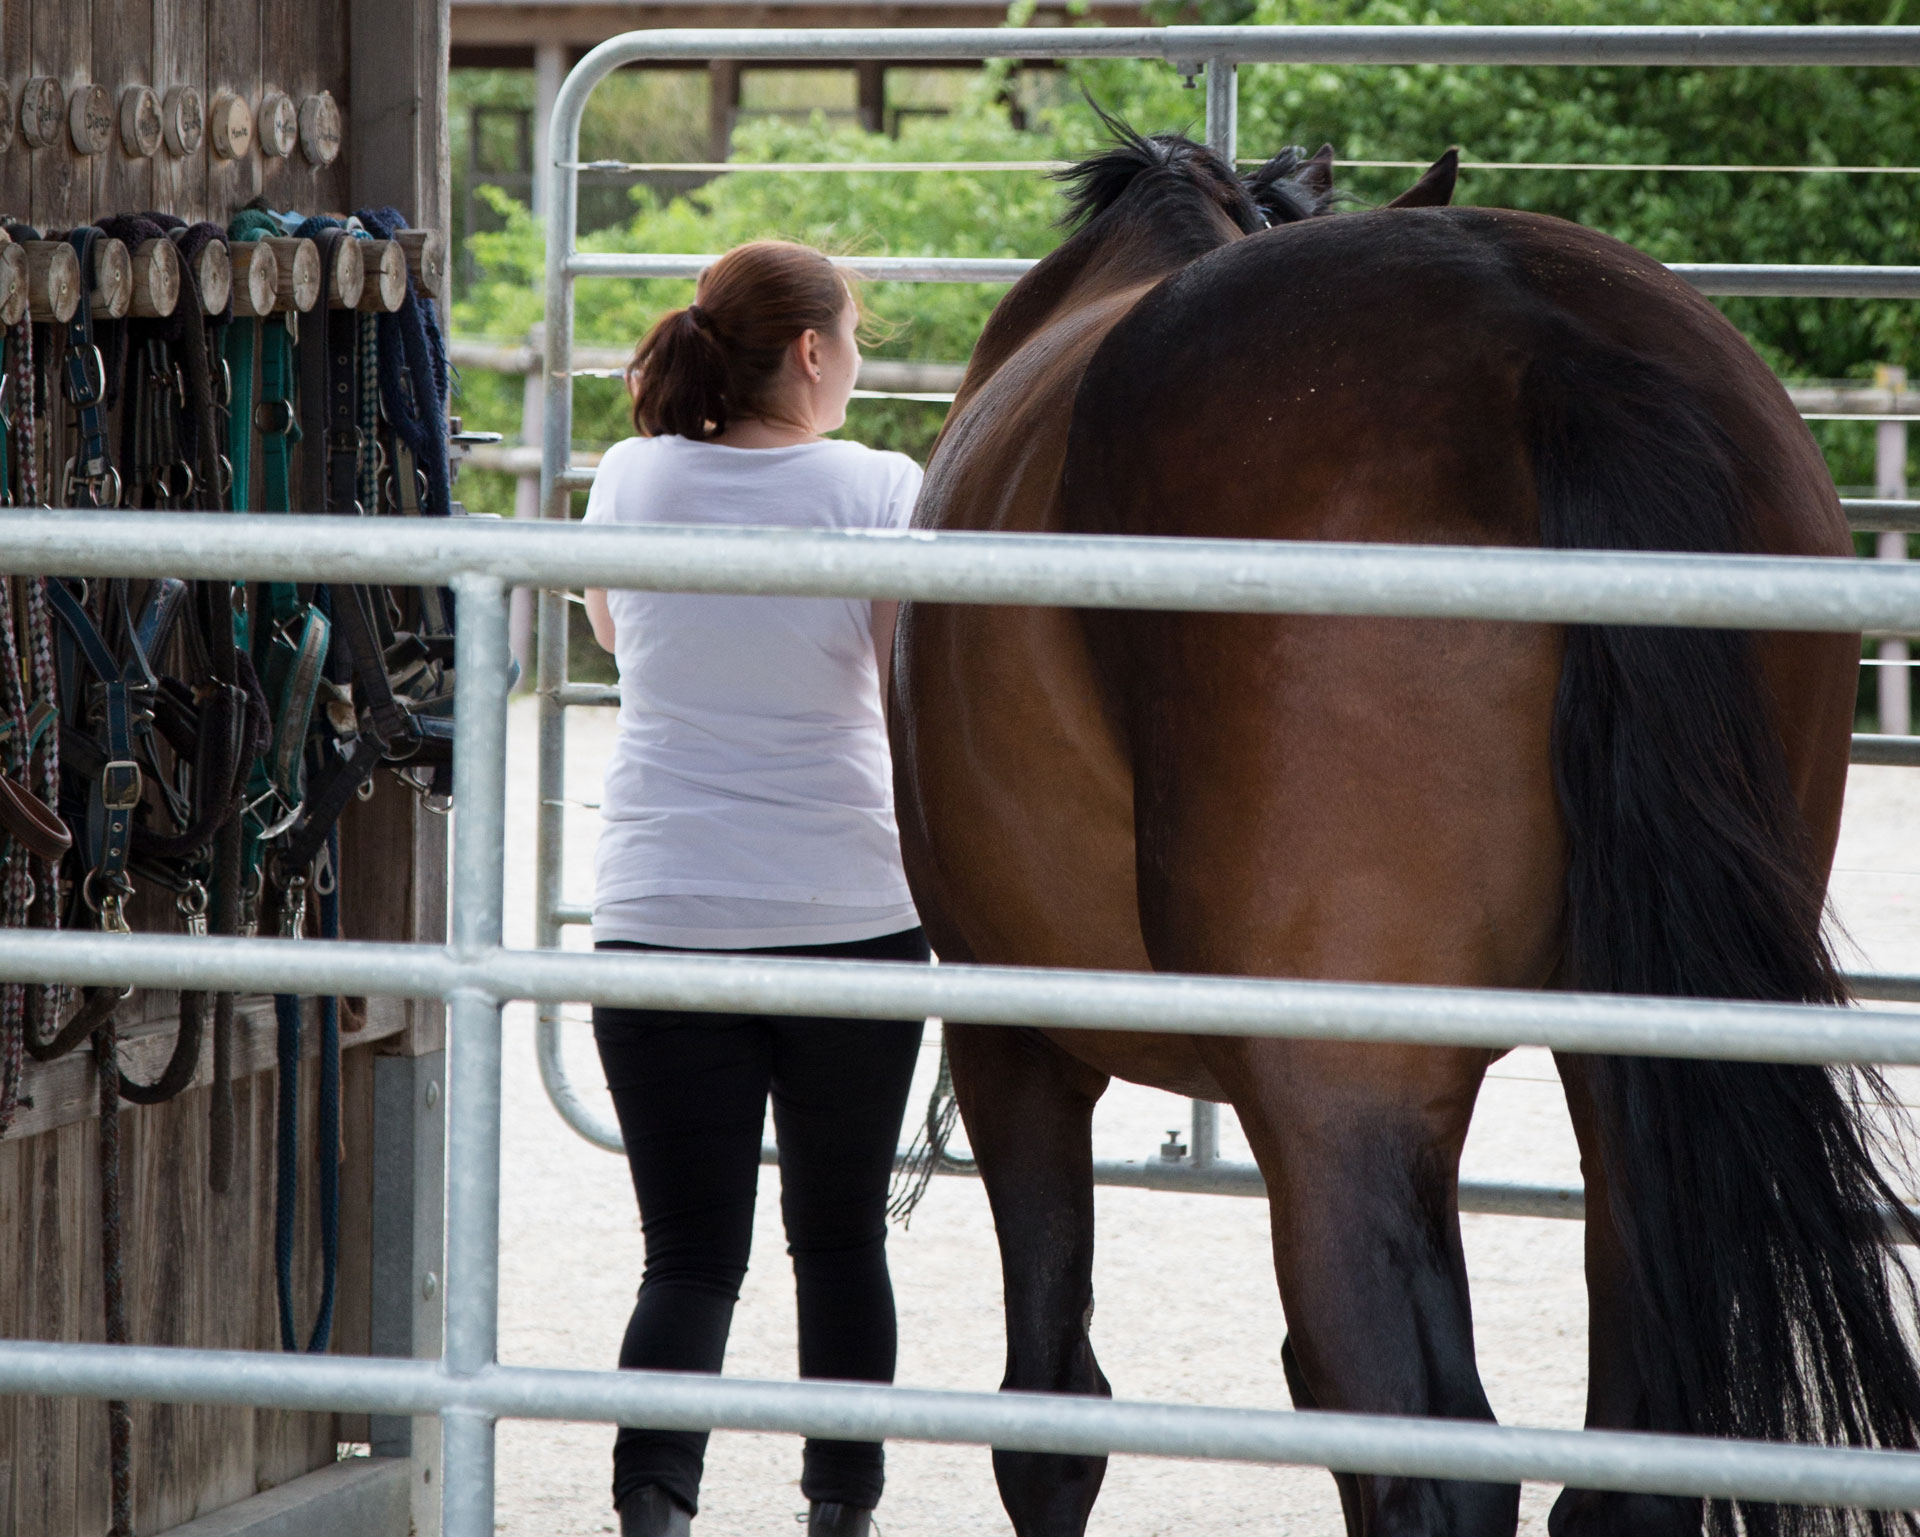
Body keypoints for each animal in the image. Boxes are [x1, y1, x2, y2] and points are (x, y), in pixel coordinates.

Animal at [890, 125, 1920, 1535]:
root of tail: (1546, 347)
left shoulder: (1013, 1033)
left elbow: (1050, 1416)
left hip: (1341, 1101)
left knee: (1423, 1455)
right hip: (1631, 1067)